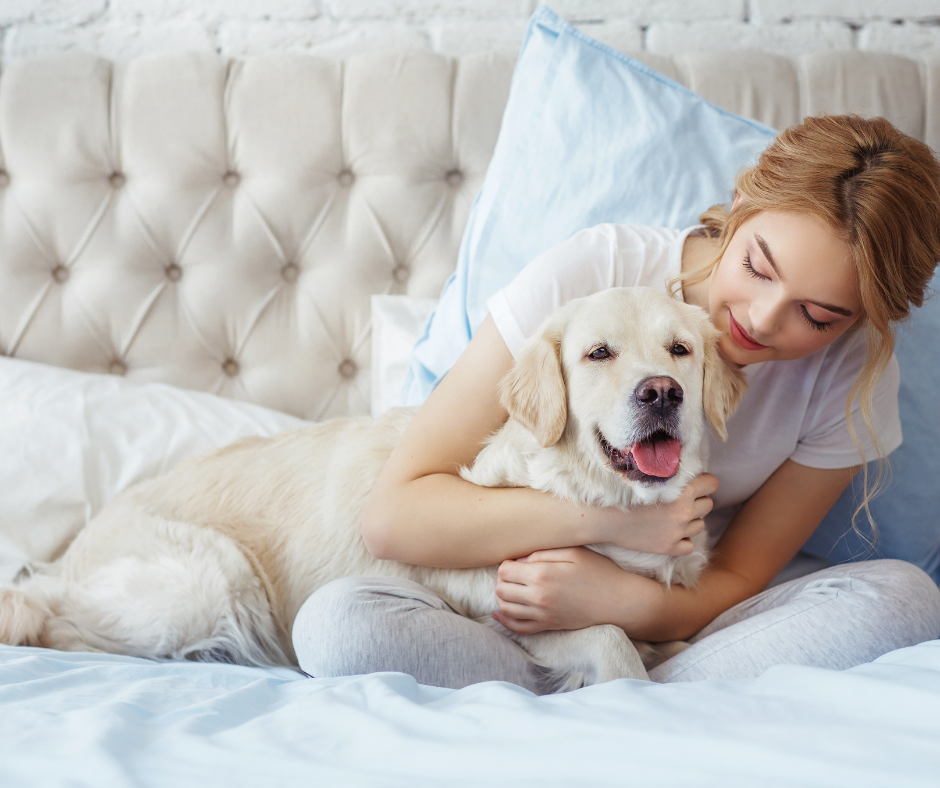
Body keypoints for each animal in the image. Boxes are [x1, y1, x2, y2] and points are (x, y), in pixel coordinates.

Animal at [0, 288, 748, 688]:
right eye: (598, 354)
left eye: (680, 349)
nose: (662, 393)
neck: (596, 500)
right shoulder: (501, 595)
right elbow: (610, 639)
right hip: (207, 581)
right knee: (50, 611)